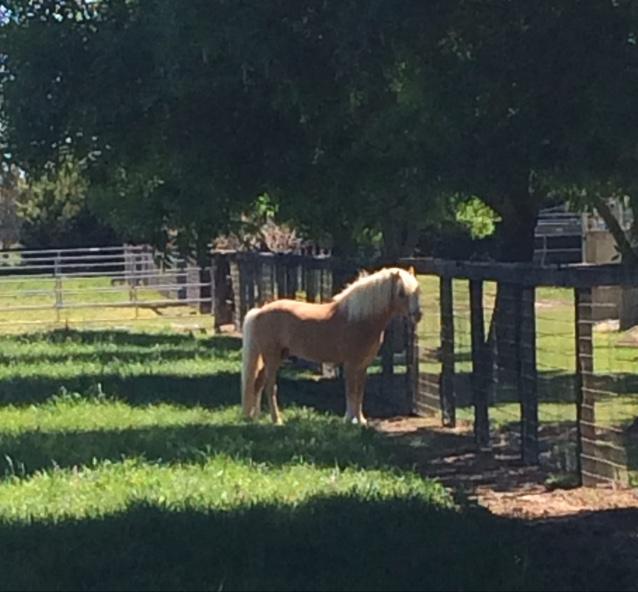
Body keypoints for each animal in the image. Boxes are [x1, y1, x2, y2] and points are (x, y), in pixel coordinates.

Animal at [240, 268, 420, 426]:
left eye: (417, 292)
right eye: (401, 293)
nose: (417, 316)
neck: (359, 319)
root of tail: (260, 311)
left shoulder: (363, 366)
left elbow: (360, 392)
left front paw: (361, 420)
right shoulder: (350, 365)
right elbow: (351, 392)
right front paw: (349, 420)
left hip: (275, 357)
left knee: (258, 383)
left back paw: (255, 417)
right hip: (272, 358)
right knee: (270, 387)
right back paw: (276, 420)